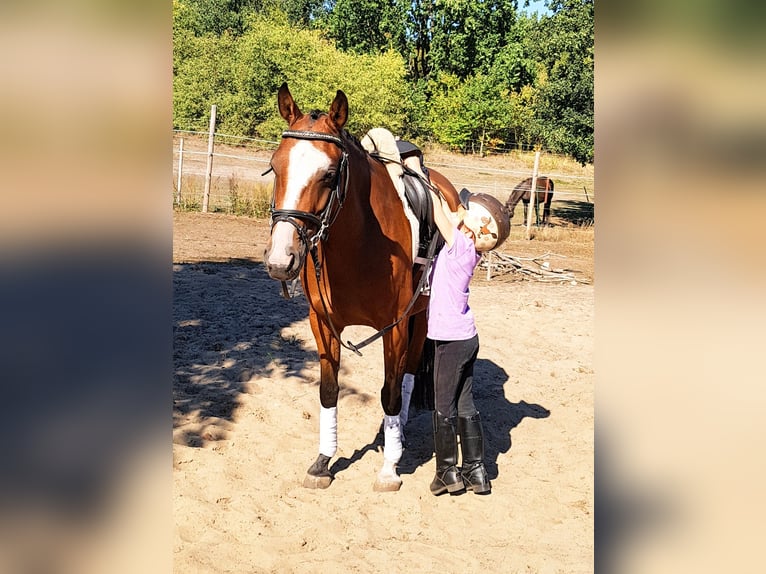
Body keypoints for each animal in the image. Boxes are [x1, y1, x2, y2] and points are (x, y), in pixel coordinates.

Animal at [263, 83, 459, 491]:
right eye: (275, 166)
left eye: (329, 174)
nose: (280, 260)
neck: (358, 243)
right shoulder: (322, 324)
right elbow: (328, 390)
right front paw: (322, 462)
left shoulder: (394, 328)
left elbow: (389, 392)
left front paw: (389, 467)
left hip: (421, 317)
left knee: (407, 376)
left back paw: (397, 438)